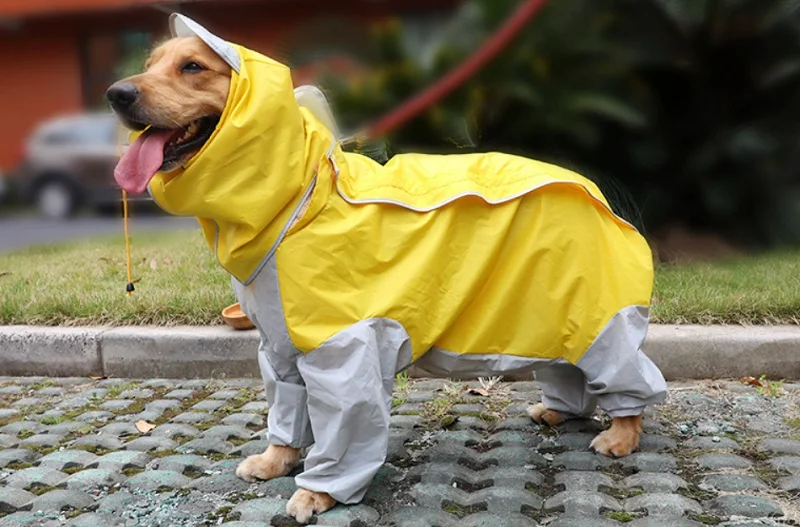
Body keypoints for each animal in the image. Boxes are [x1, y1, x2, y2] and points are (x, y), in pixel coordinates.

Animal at [108, 14, 668, 524]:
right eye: (149, 64)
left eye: (193, 67)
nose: (116, 93)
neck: (300, 199)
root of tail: (594, 189)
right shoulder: (279, 343)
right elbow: (285, 407)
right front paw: (275, 461)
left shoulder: (342, 348)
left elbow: (343, 422)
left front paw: (320, 492)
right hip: (548, 309)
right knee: (566, 364)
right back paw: (560, 409)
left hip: (599, 312)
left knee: (626, 374)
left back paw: (620, 435)